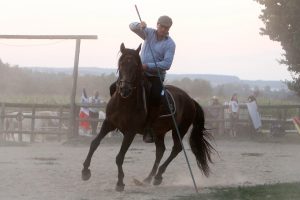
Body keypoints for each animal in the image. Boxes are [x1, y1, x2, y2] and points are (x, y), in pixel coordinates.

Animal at [81, 43, 214, 191]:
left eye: (135, 66)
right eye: (121, 63)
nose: (125, 89)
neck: (124, 102)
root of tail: (190, 99)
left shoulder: (130, 132)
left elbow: (120, 157)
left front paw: (120, 182)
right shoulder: (108, 123)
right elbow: (94, 143)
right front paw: (85, 171)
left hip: (179, 129)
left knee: (176, 149)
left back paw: (158, 176)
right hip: (159, 132)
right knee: (160, 151)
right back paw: (148, 179)